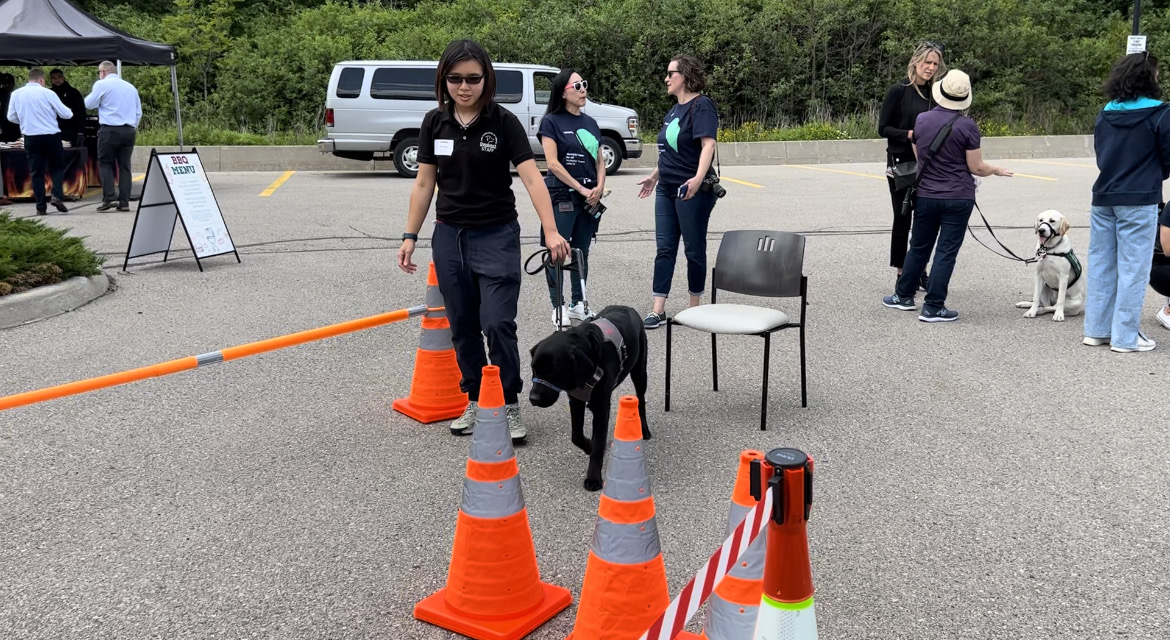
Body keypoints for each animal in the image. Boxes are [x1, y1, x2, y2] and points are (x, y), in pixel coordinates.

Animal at [528, 306, 650, 491]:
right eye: (534, 369)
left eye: (553, 372)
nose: (533, 398)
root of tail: (627, 308)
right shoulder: (575, 400)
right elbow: (576, 435)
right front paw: (588, 446)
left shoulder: (601, 407)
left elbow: (598, 446)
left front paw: (593, 478)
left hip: (639, 371)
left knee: (641, 400)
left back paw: (644, 429)